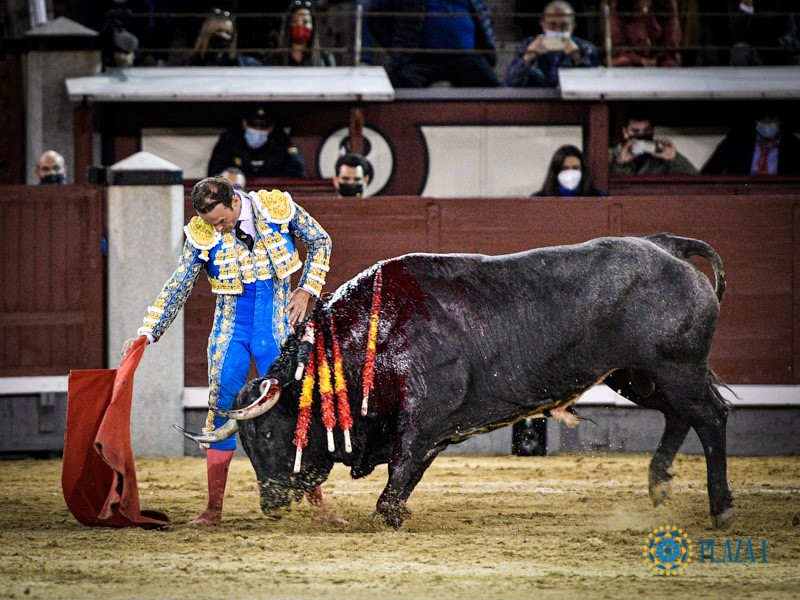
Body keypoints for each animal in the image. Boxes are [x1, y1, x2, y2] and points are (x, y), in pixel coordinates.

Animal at [178, 234, 736, 528]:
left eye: (269, 432)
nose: (270, 503)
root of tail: (668, 248)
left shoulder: (426, 422)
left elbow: (398, 477)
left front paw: (390, 518)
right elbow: (402, 478)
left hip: (676, 368)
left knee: (710, 416)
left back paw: (722, 509)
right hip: (639, 377)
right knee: (679, 416)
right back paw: (659, 485)